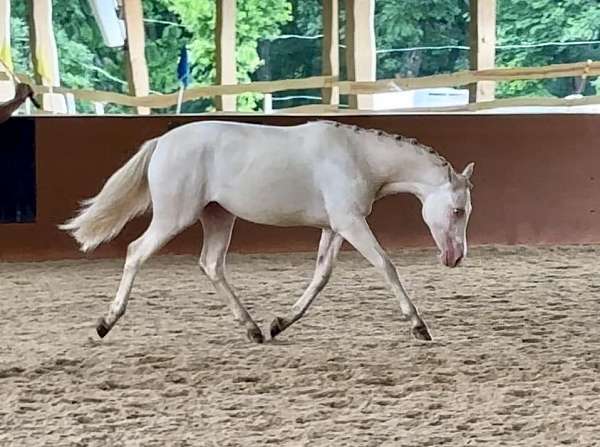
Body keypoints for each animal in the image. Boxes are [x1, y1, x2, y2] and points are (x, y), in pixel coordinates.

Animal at [61, 119, 474, 344]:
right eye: (457, 210)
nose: (456, 258)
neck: (358, 157)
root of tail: (161, 143)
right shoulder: (350, 222)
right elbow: (386, 266)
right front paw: (419, 326)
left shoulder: (334, 227)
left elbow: (321, 277)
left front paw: (279, 323)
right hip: (174, 217)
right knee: (136, 252)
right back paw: (105, 323)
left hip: (218, 217)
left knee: (212, 265)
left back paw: (254, 329)